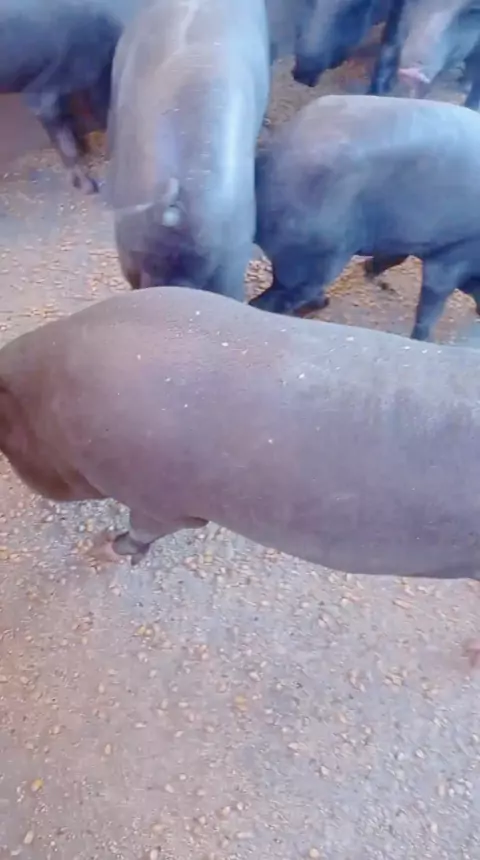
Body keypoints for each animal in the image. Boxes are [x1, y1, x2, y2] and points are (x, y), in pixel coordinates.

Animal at [251, 93, 480, 341]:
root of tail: (273, 154)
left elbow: (396, 257)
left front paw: (369, 269)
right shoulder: (455, 253)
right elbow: (434, 296)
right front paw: (425, 339)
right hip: (318, 253)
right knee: (277, 299)